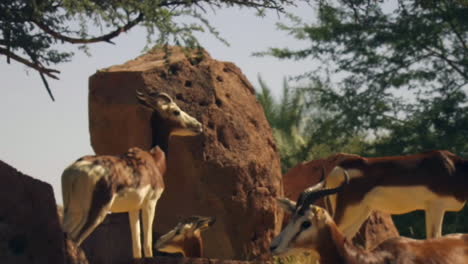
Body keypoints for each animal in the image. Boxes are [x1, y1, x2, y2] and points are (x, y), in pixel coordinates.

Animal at [60, 89, 203, 258]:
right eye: (176, 111)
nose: (198, 125)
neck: (154, 160)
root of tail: (74, 172)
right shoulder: (150, 204)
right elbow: (147, 245)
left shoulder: (133, 209)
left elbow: (137, 248)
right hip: (95, 214)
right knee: (75, 242)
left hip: (72, 213)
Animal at [308, 151, 466, 239]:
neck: (453, 168)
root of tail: (338, 169)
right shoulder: (437, 207)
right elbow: (435, 238)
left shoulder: (430, 209)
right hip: (349, 211)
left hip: (361, 212)